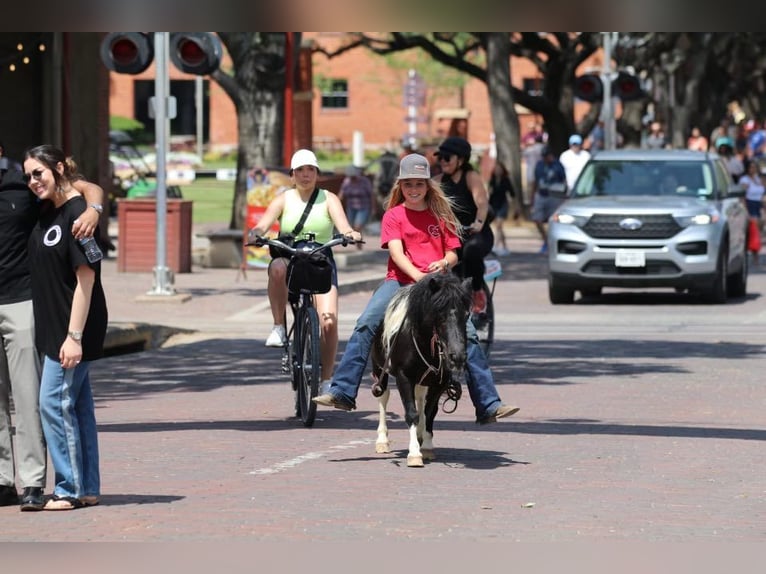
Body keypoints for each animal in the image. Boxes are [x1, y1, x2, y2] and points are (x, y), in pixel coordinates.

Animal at [372, 274, 474, 468]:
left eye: (466, 315)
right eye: (439, 314)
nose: (457, 357)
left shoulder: (440, 382)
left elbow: (428, 413)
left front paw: (426, 446)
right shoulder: (403, 377)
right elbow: (412, 413)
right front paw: (414, 454)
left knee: (420, 398)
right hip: (379, 368)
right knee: (383, 395)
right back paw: (382, 441)